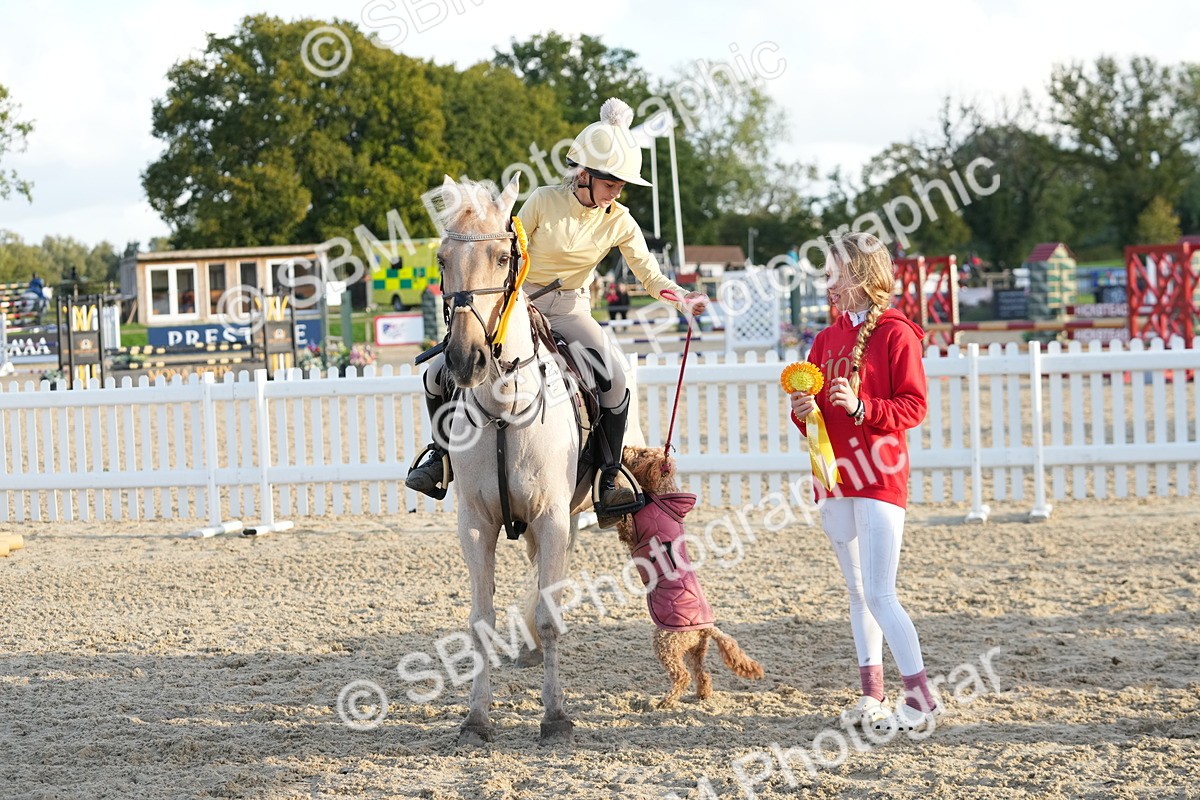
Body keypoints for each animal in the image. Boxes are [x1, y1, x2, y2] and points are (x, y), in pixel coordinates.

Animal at [433, 175, 599, 746]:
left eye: (504, 257)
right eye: (441, 259)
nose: (465, 360)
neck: (505, 409)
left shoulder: (552, 517)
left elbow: (549, 613)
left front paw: (555, 716)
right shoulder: (475, 524)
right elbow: (480, 622)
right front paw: (476, 718)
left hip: (567, 515)